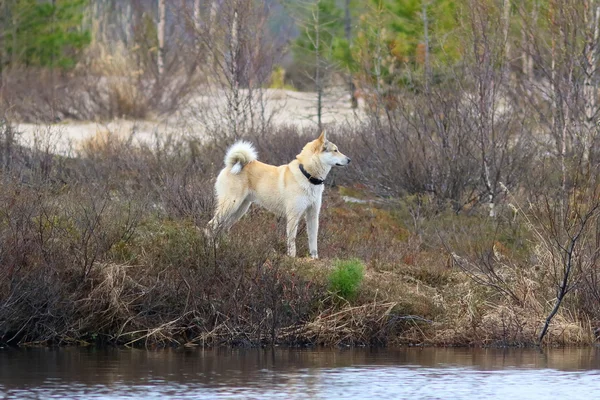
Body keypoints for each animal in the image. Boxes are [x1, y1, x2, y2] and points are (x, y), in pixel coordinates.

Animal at [206, 130, 350, 258]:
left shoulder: (313, 215)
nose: (349, 160)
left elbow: (313, 240)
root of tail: (232, 165)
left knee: (223, 228)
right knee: (211, 226)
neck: (307, 175)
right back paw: (211, 248)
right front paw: (292, 258)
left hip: (240, 209)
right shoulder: (293, 216)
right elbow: (292, 240)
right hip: (231, 206)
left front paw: (314, 258)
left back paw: (223, 248)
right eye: (335, 150)